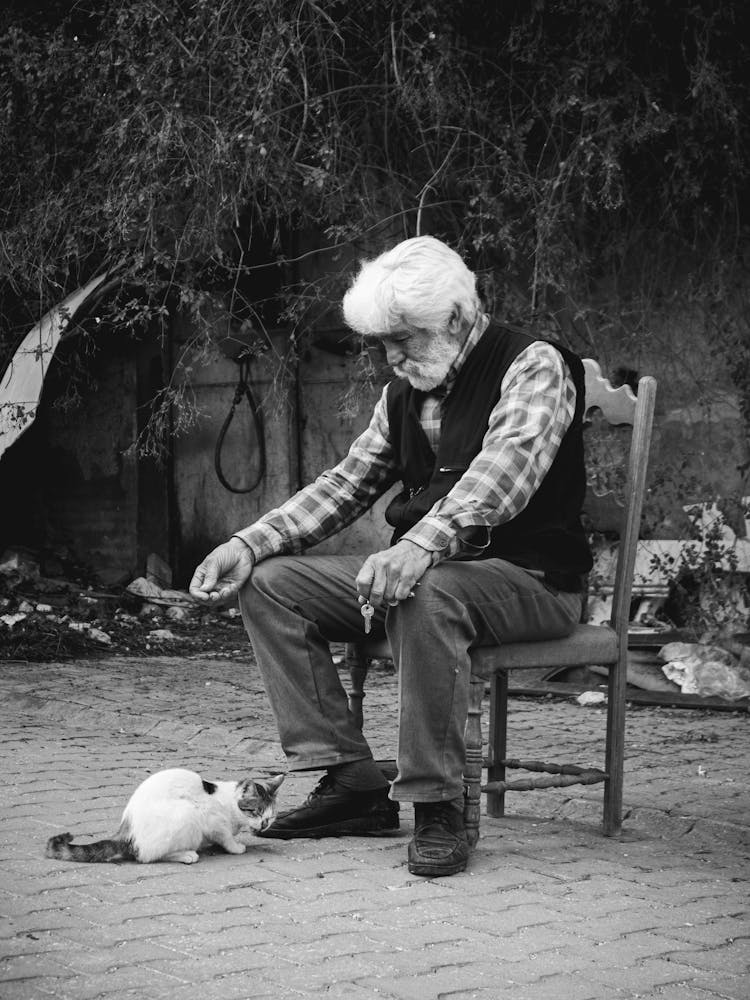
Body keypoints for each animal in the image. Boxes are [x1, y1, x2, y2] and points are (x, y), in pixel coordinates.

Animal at [44, 768, 284, 864]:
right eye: (255, 811)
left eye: (271, 816)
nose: (264, 825)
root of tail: (126, 833)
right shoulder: (212, 821)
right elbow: (225, 837)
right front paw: (235, 847)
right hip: (187, 813)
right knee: (147, 856)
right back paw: (187, 855)